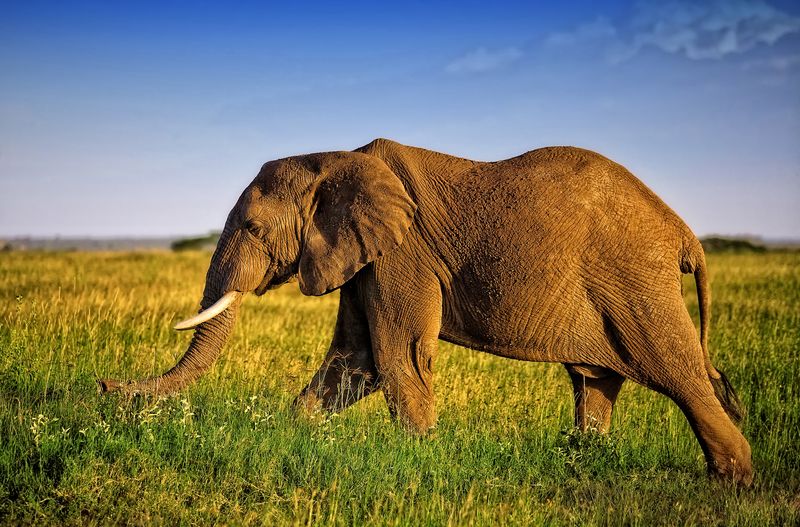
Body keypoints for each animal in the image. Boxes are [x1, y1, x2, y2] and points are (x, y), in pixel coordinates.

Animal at [99, 138, 752, 485]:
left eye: (256, 229)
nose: (107, 388)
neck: (334, 158)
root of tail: (684, 233)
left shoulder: (401, 253)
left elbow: (397, 357)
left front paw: (417, 460)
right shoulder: (366, 255)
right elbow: (355, 362)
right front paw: (292, 434)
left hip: (635, 278)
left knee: (678, 370)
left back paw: (733, 482)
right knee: (596, 379)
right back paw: (585, 460)